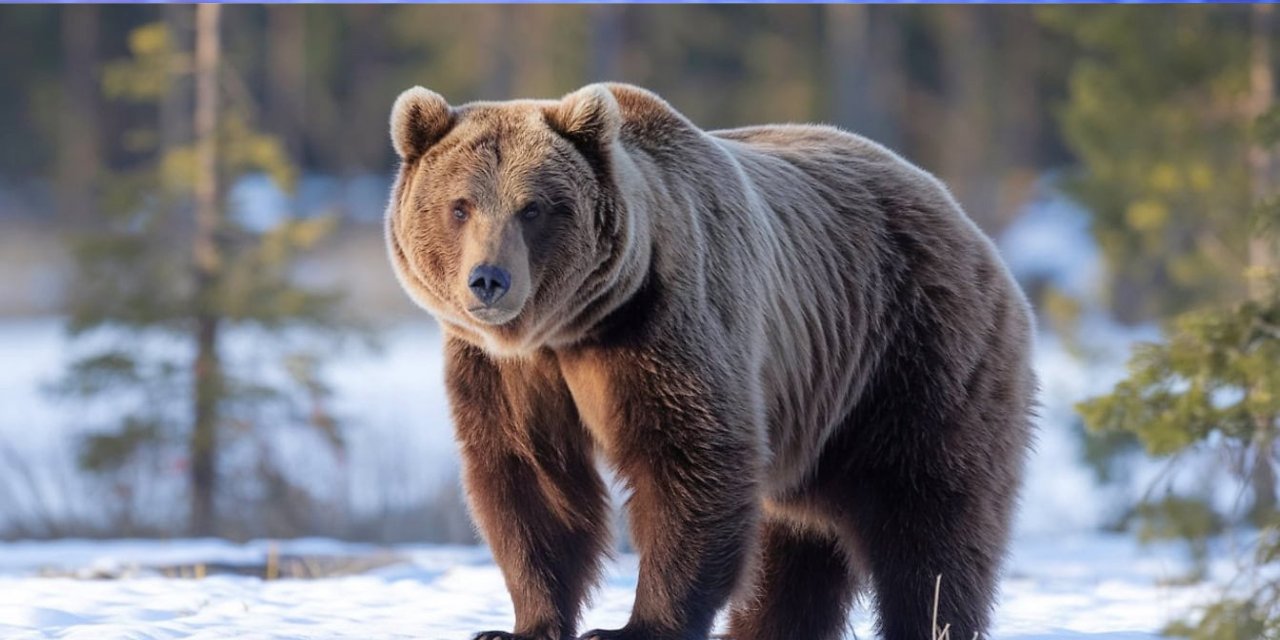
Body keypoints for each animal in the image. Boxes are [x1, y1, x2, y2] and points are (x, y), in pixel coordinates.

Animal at [384, 83, 1034, 640]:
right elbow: (531, 476)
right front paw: (521, 623)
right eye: (460, 205)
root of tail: (967, 222)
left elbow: (689, 462)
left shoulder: (670, 324)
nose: (488, 280)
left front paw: (637, 626)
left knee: (931, 519)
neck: (573, 328)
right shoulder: (508, 372)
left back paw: (932, 617)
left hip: (913, 356)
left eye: (533, 207)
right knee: (794, 553)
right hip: (821, 417)